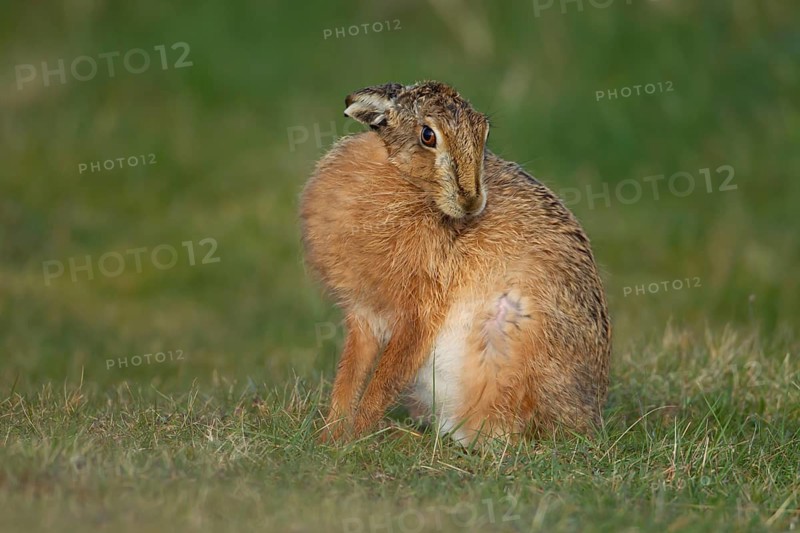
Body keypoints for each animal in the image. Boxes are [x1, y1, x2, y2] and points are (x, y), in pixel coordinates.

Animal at [300, 81, 611, 446]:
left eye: (484, 132)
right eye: (427, 136)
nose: (471, 200)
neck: (410, 185)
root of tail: (587, 420)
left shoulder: (420, 311)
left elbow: (385, 379)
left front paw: (355, 438)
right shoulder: (364, 315)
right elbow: (350, 375)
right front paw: (331, 436)